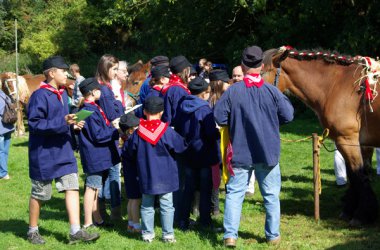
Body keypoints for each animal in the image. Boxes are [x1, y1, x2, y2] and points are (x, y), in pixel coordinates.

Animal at [262, 46, 380, 227]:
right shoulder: (349, 143)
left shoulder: (348, 140)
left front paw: (362, 215)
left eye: (262, 72)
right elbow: (354, 176)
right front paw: (350, 210)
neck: (336, 85)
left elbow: (359, 174)